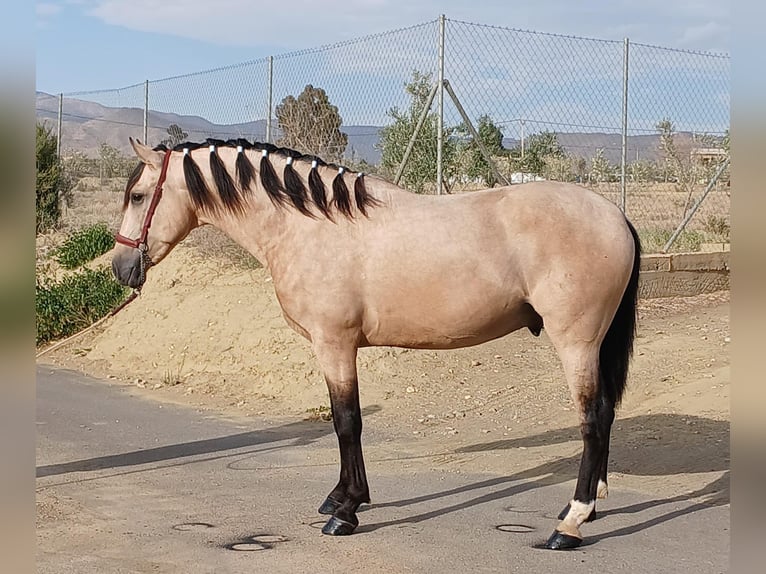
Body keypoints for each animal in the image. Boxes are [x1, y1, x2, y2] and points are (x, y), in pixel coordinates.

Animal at [112, 137, 640, 552]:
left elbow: (347, 422)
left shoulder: (334, 344)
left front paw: (345, 512)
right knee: (606, 414)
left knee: (593, 419)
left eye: (138, 195)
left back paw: (569, 524)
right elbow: (342, 421)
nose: (121, 268)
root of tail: (615, 215)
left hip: (576, 342)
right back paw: (587, 509)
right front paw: (342, 497)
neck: (309, 227)